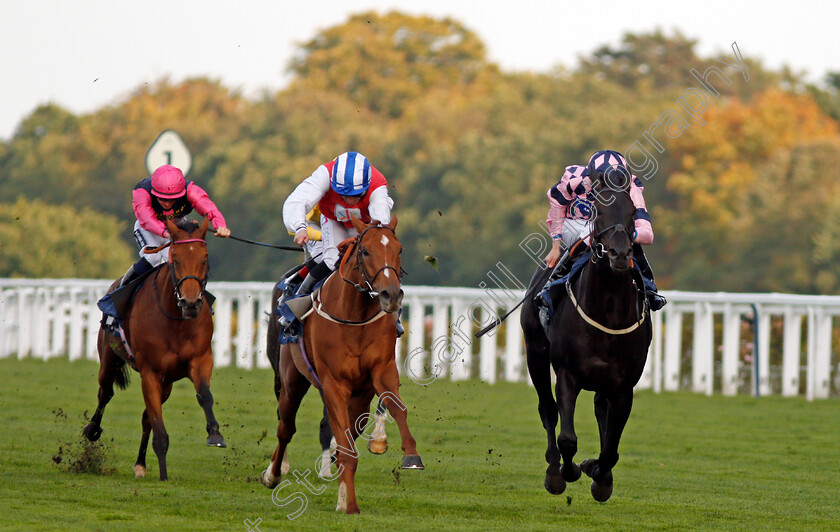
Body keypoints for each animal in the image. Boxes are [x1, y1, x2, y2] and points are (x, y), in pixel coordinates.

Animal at [82, 218, 225, 480]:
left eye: (205, 258)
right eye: (175, 258)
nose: (191, 303)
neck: (176, 321)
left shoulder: (199, 360)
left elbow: (204, 395)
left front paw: (215, 434)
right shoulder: (150, 372)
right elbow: (159, 427)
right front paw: (164, 474)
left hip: (166, 383)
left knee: (145, 417)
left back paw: (140, 464)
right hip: (109, 359)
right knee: (105, 393)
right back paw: (92, 430)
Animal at [260, 216, 424, 516]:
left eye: (399, 249)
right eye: (365, 251)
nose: (391, 294)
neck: (354, 316)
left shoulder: (381, 372)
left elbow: (395, 407)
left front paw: (410, 455)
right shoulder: (335, 383)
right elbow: (341, 442)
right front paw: (351, 505)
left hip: (357, 396)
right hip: (291, 380)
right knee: (285, 427)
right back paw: (273, 474)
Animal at [520, 172, 652, 500]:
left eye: (632, 213)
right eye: (598, 212)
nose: (620, 254)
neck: (608, 312)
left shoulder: (624, 385)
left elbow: (611, 449)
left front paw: (600, 476)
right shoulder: (567, 375)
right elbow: (567, 437)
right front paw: (564, 473)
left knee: (600, 411)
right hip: (535, 352)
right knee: (547, 409)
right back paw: (553, 467)